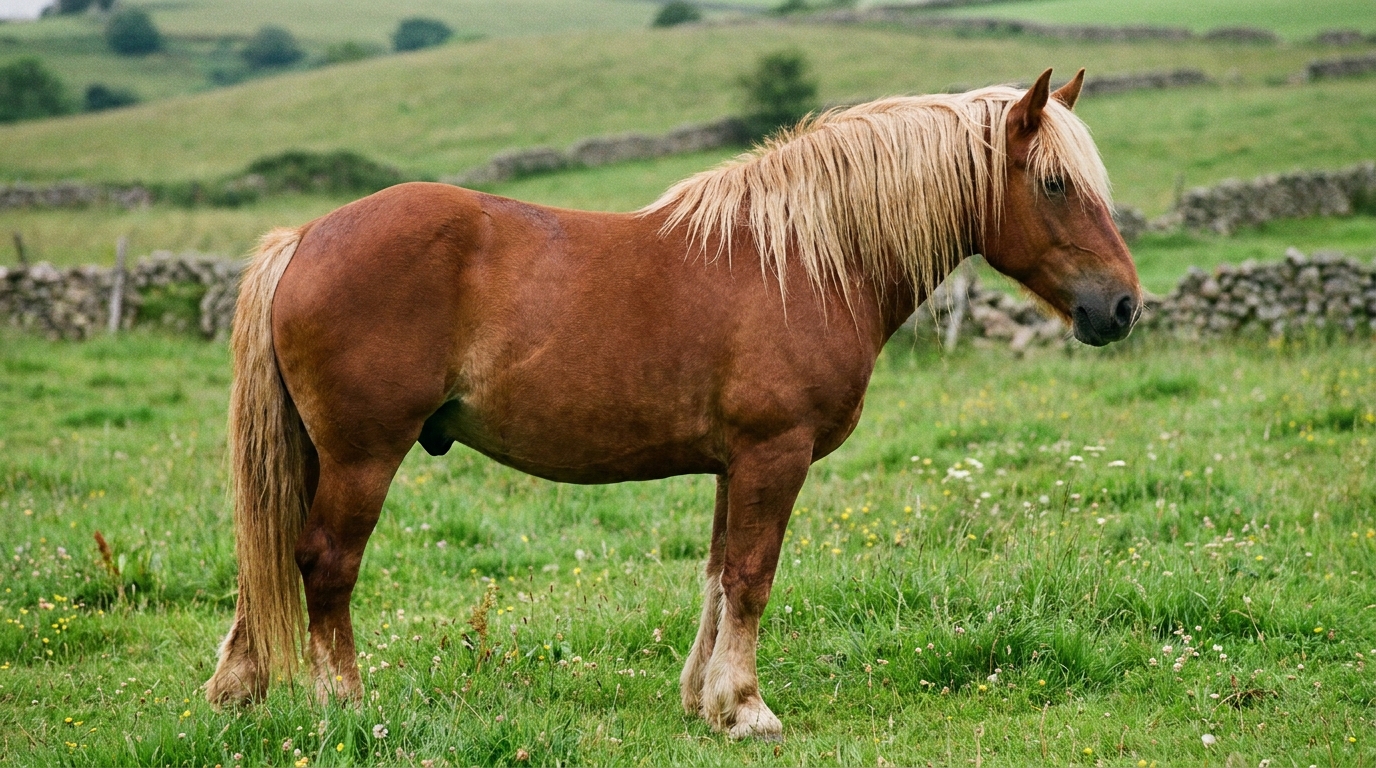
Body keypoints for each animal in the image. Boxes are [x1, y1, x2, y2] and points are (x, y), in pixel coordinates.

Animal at [205, 68, 1140, 740]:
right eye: (1055, 184)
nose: (1123, 307)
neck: (803, 260)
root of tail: (305, 238)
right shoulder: (775, 453)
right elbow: (754, 577)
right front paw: (748, 709)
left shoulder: (736, 463)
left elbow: (720, 576)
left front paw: (705, 701)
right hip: (363, 455)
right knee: (326, 561)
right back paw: (345, 703)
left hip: (313, 453)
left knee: (268, 556)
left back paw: (239, 690)